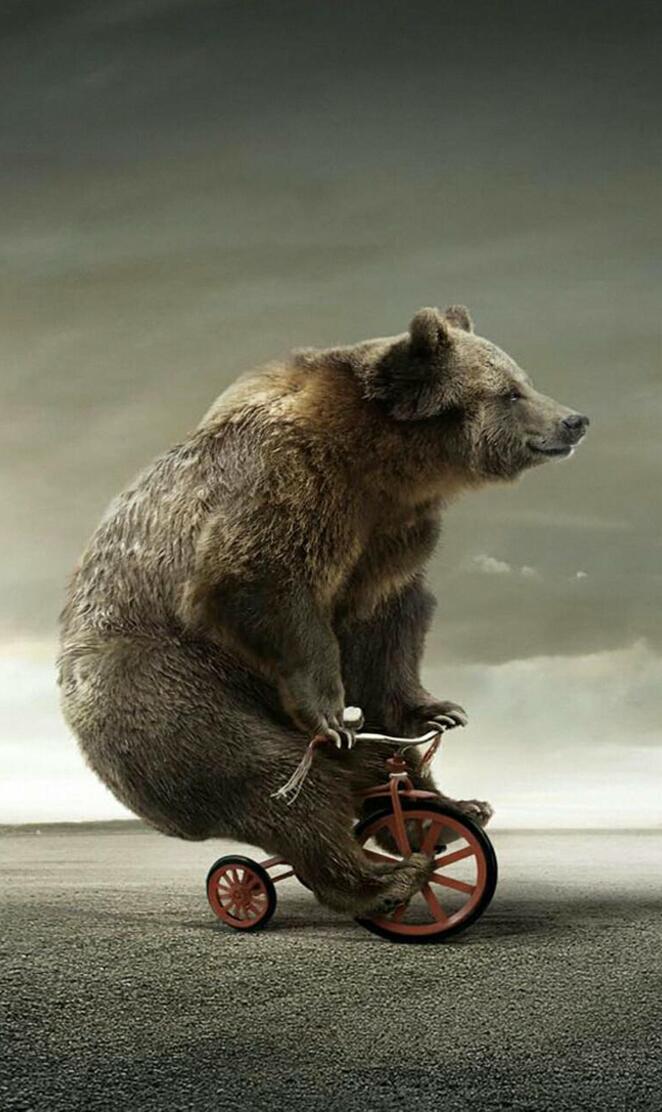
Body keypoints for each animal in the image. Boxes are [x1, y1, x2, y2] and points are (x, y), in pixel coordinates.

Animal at [56, 305, 589, 917]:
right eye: (510, 392)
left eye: (523, 380)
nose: (574, 420)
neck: (385, 462)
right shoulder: (288, 484)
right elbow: (259, 582)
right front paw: (331, 714)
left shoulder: (389, 535)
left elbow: (388, 625)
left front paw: (436, 711)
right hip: (163, 684)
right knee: (270, 778)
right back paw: (385, 878)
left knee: (368, 769)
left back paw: (451, 811)